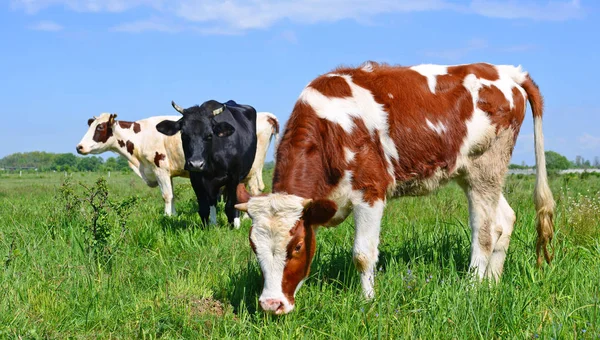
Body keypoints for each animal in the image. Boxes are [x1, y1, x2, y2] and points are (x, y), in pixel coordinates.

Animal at [77, 110, 278, 219]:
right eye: (90, 126)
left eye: (100, 127)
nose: (79, 147)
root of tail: (266, 116)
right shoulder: (168, 172)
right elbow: (172, 195)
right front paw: (172, 215)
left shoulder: (160, 168)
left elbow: (166, 195)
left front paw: (167, 215)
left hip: (252, 169)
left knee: (254, 190)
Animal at [156, 100, 256, 228]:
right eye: (183, 134)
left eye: (209, 135)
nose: (196, 163)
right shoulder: (196, 179)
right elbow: (204, 208)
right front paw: (206, 228)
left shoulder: (233, 177)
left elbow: (229, 206)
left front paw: (232, 227)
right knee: (213, 201)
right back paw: (214, 224)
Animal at [237, 61, 556, 314]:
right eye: (253, 246)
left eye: (298, 246)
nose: (271, 304)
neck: (331, 131)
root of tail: (506, 71)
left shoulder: (370, 191)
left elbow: (363, 255)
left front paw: (367, 302)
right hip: (475, 172)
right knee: (505, 219)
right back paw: (492, 284)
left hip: (485, 166)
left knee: (485, 232)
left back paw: (473, 289)